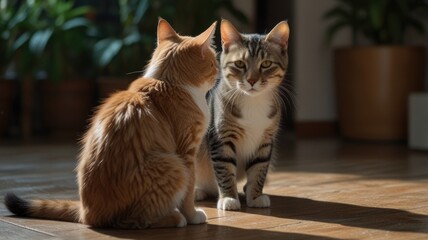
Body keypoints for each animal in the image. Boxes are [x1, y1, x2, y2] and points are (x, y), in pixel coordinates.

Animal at [3, 18, 217, 229]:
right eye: (214, 62)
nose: (218, 73)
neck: (167, 81)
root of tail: (87, 214)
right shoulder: (187, 152)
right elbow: (188, 193)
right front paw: (192, 215)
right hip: (171, 165)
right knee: (134, 220)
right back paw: (174, 218)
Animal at [195, 19, 290, 209]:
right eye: (239, 64)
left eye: (266, 64)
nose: (252, 80)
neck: (253, 102)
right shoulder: (222, 137)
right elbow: (224, 169)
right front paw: (229, 198)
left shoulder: (265, 141)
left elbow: (259, 169)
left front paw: (255, 196)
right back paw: (197, 191)